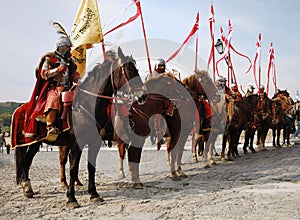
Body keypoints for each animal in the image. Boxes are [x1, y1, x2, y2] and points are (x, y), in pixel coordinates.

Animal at [10, 46, 144, 208]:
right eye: (130, 71)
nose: (143, 96)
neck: (87, 105)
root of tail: (20, 109)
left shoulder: (94, 143)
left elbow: (91, 168)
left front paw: (94, 194)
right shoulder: (76, 145)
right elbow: (73, 169)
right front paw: (71, 199)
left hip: (36, 143)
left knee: (27, 162)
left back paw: (28, 188)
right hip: (27, 141)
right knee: (26, 162)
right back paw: (28, 188)